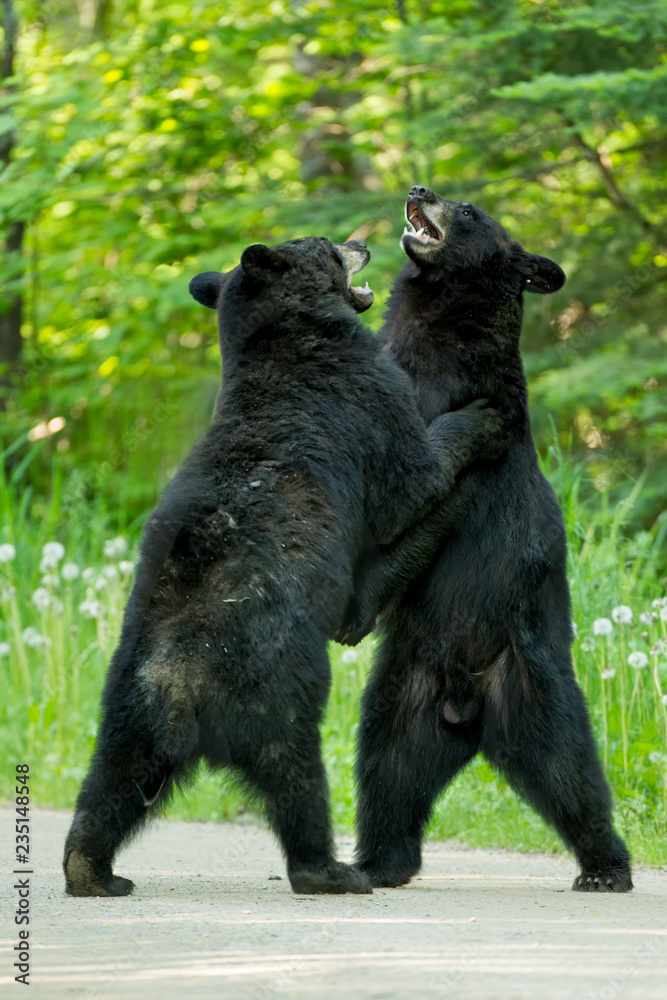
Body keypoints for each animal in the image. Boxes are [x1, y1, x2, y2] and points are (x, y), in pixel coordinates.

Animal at [62, 235, 506, 897]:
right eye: (328, 250)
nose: (360, 242)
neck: (287, 341)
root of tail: (182, 676)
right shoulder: (363, 398)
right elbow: (412, 474)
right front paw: (483, 417)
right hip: (276, 692)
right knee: (298, 781)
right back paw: (331, 870)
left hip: (128, 706)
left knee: (113, 780)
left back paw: (92, 870)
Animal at [347, 188, 633, 893]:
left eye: (470, 212)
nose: (420, 190)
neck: (435, 328)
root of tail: (467, 710)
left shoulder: (458, 399)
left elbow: (414, 485)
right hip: (402, 692)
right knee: (387, 772)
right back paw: (378, 861)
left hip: (531, 682)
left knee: (569, 771)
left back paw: (606, 867)